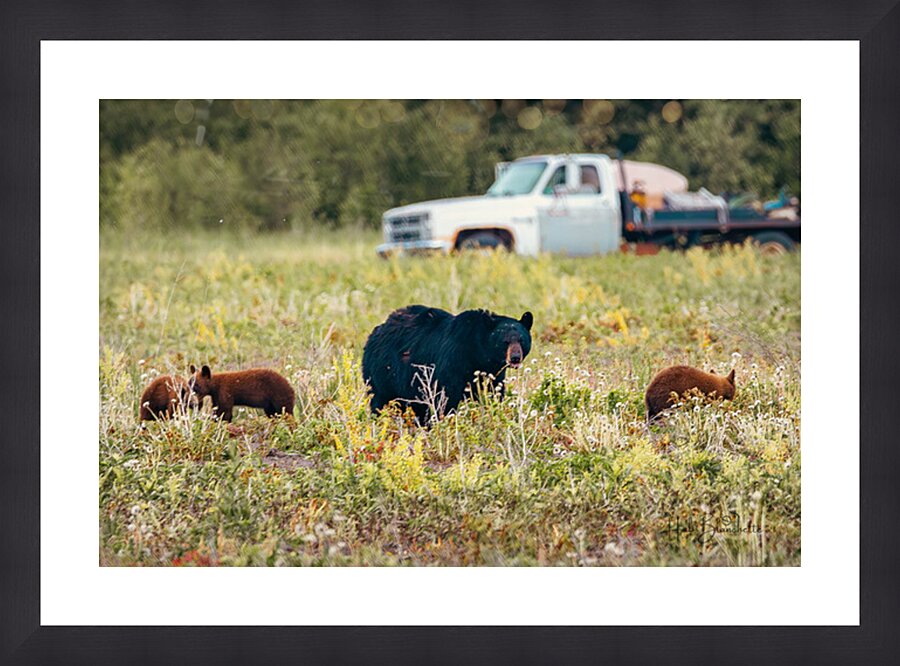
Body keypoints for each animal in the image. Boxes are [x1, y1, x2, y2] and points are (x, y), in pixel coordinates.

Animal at [362, 305, 533, 423]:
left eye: (521, 340)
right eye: (504, 342)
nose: (515, 358)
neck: (478, 354)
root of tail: (376, 331)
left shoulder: (493, 372)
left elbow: (493, 393)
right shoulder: (453, 361)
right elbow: (447, 397)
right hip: (383, 372)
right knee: (379, 400)